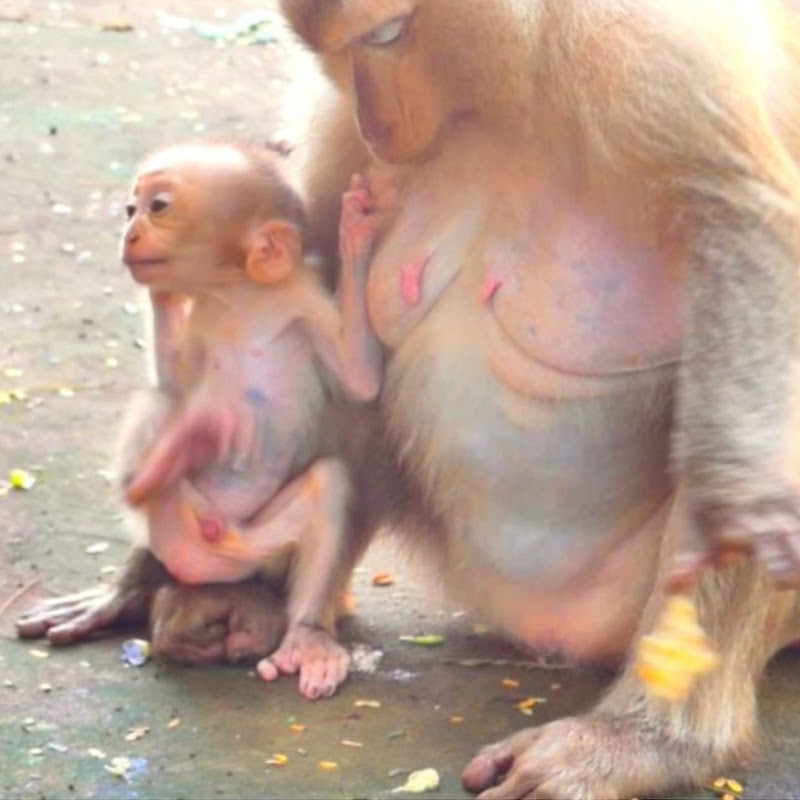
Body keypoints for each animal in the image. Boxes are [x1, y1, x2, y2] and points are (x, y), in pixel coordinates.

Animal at [17, 141, 386, 700]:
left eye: (158, 207)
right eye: (131, 208)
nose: (130, 232)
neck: (240, 293)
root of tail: (207, 550)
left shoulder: (304, 300)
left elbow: (362, 382)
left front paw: (356, 233)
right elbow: (175, 383)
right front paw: (160, 296)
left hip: (251, 548)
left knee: (329, 482)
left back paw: (305, 639)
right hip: (175, 523)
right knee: (161, 408)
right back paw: (176, 454)